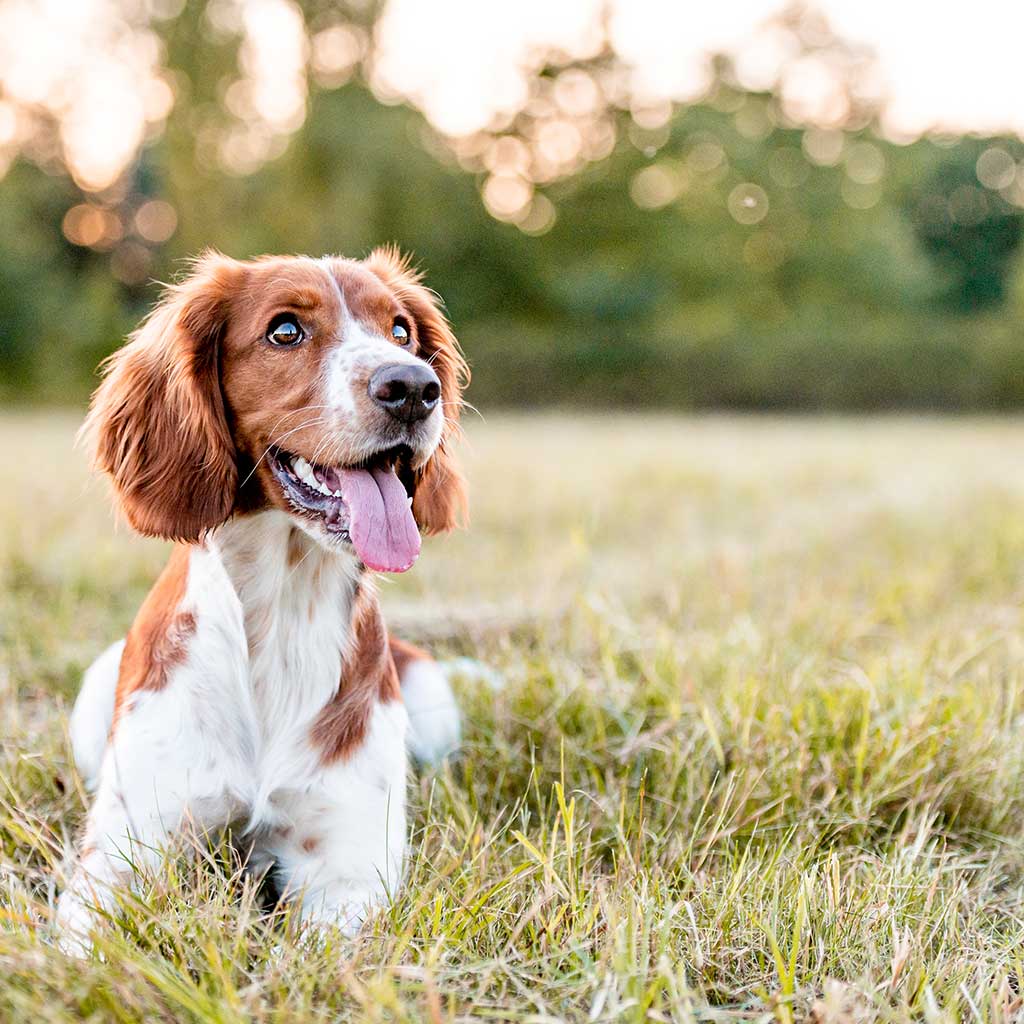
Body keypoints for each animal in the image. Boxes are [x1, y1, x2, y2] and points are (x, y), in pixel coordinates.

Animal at [56, 247, 468, 950]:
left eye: (401, 331)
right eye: (284, 331)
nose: (414, 387)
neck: (283, 611)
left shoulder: (348, 870)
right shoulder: (120, 855)